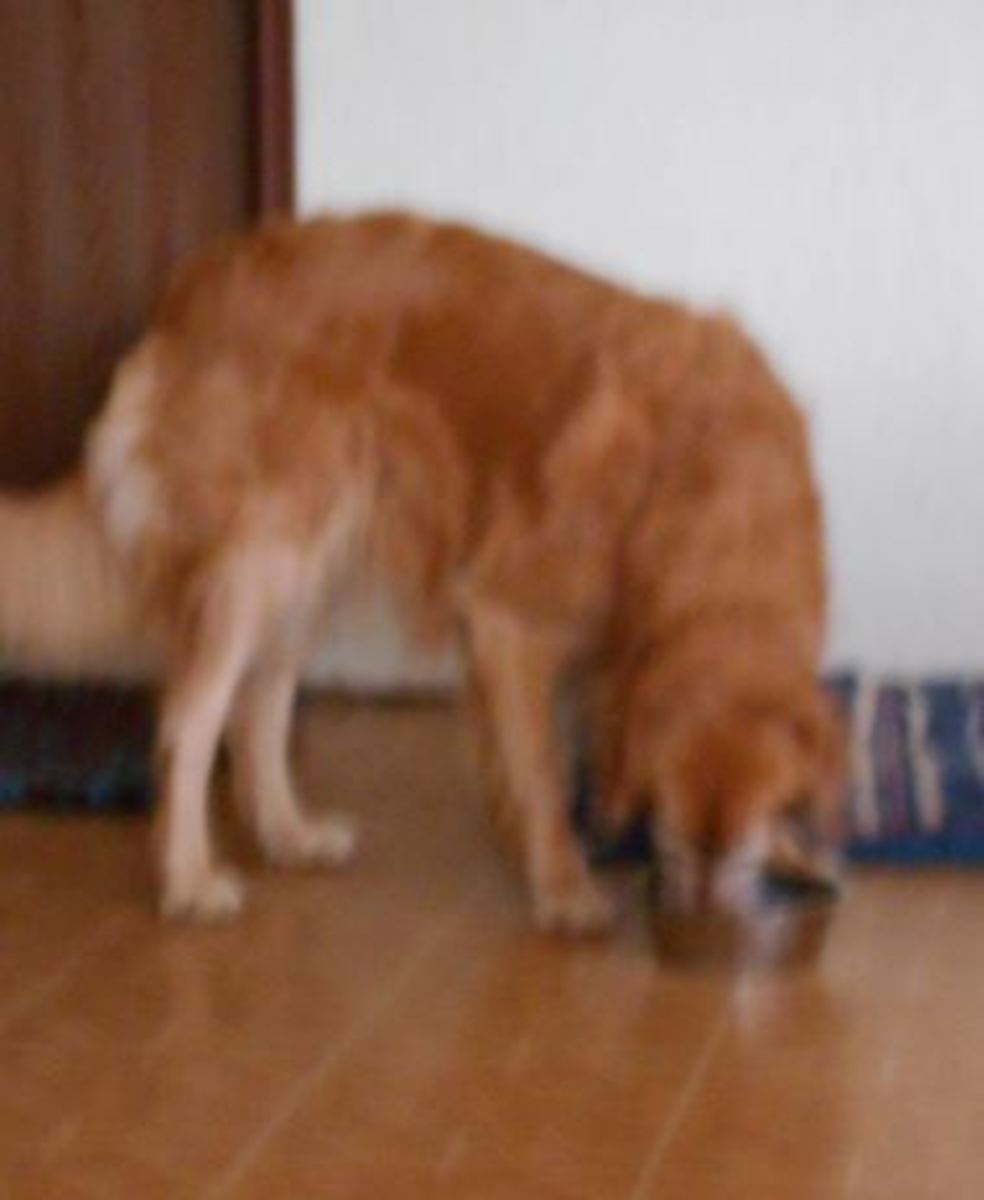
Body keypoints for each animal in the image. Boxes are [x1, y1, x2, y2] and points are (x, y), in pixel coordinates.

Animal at [0, 213, 844, 926]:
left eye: (738, 845)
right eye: (675, 833)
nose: (696, 921)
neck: (719, 510)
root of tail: (189, 292)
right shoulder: (507, 616)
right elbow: (540, 767)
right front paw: (563, 885)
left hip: (310, 565)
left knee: (259, 705)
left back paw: (289, 834)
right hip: (259, 559)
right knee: (193, 717)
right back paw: (188, 878)